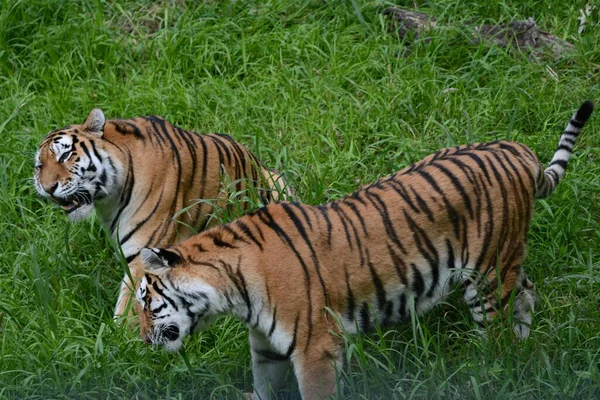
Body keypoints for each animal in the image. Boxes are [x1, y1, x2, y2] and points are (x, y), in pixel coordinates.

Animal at [32, 109, 290, 318]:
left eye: (65, 155)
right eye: (39, 166)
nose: (47, 188)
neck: (109, 199)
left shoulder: (142, 255)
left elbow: (130, 308)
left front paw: (121, 342)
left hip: (279, 183)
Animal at [135, 101, 592, 398]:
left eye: (146, 303)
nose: (140, 343)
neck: (231, 292)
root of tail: (517, 150)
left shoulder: (316, 348)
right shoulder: (265, 347)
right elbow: (264, 386)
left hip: (487, 275)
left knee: (495, 334)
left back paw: (486, 368)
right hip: (506, 258)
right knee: (527, 293)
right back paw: (522, 344)